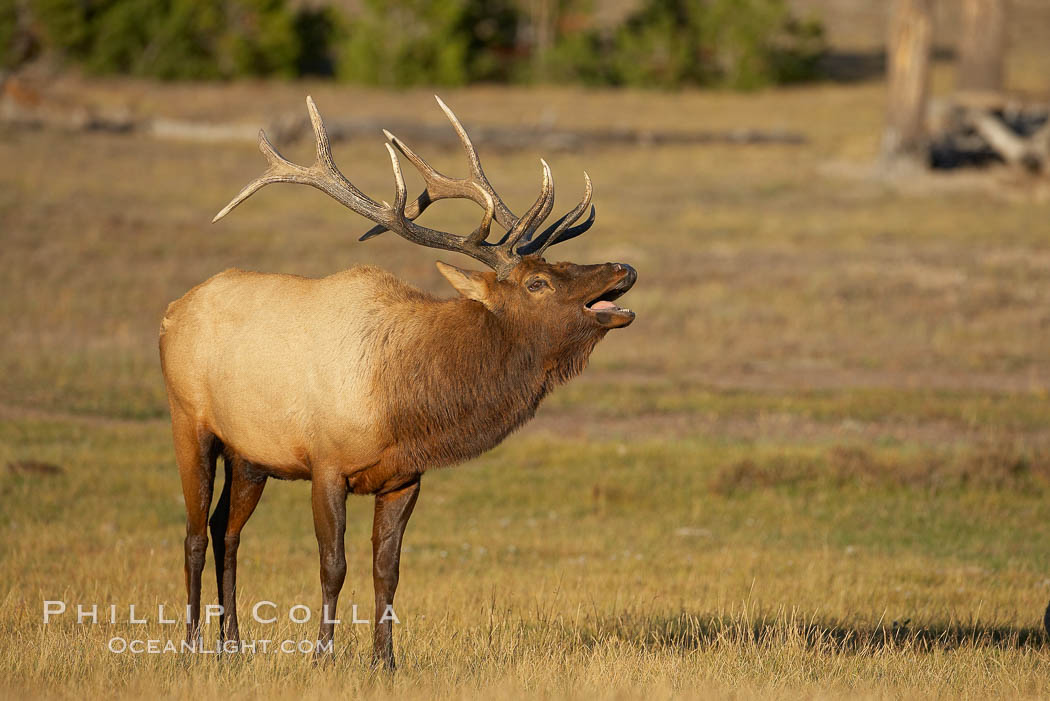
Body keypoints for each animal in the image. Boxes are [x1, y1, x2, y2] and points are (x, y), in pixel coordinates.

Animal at [159, 94, 634, 667]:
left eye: (561, 261)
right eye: (537, 282)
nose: (624, 268)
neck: (403, 402)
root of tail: (171, 312)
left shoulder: (404, 478)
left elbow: (388, 571)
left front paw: (385, 660)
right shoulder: (327, 464)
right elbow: (333, 564)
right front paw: (322, 656)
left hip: (250, 454)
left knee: (225, 530)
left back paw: (233, 645)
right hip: (190, 422)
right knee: (193, 534)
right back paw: (191, 646)